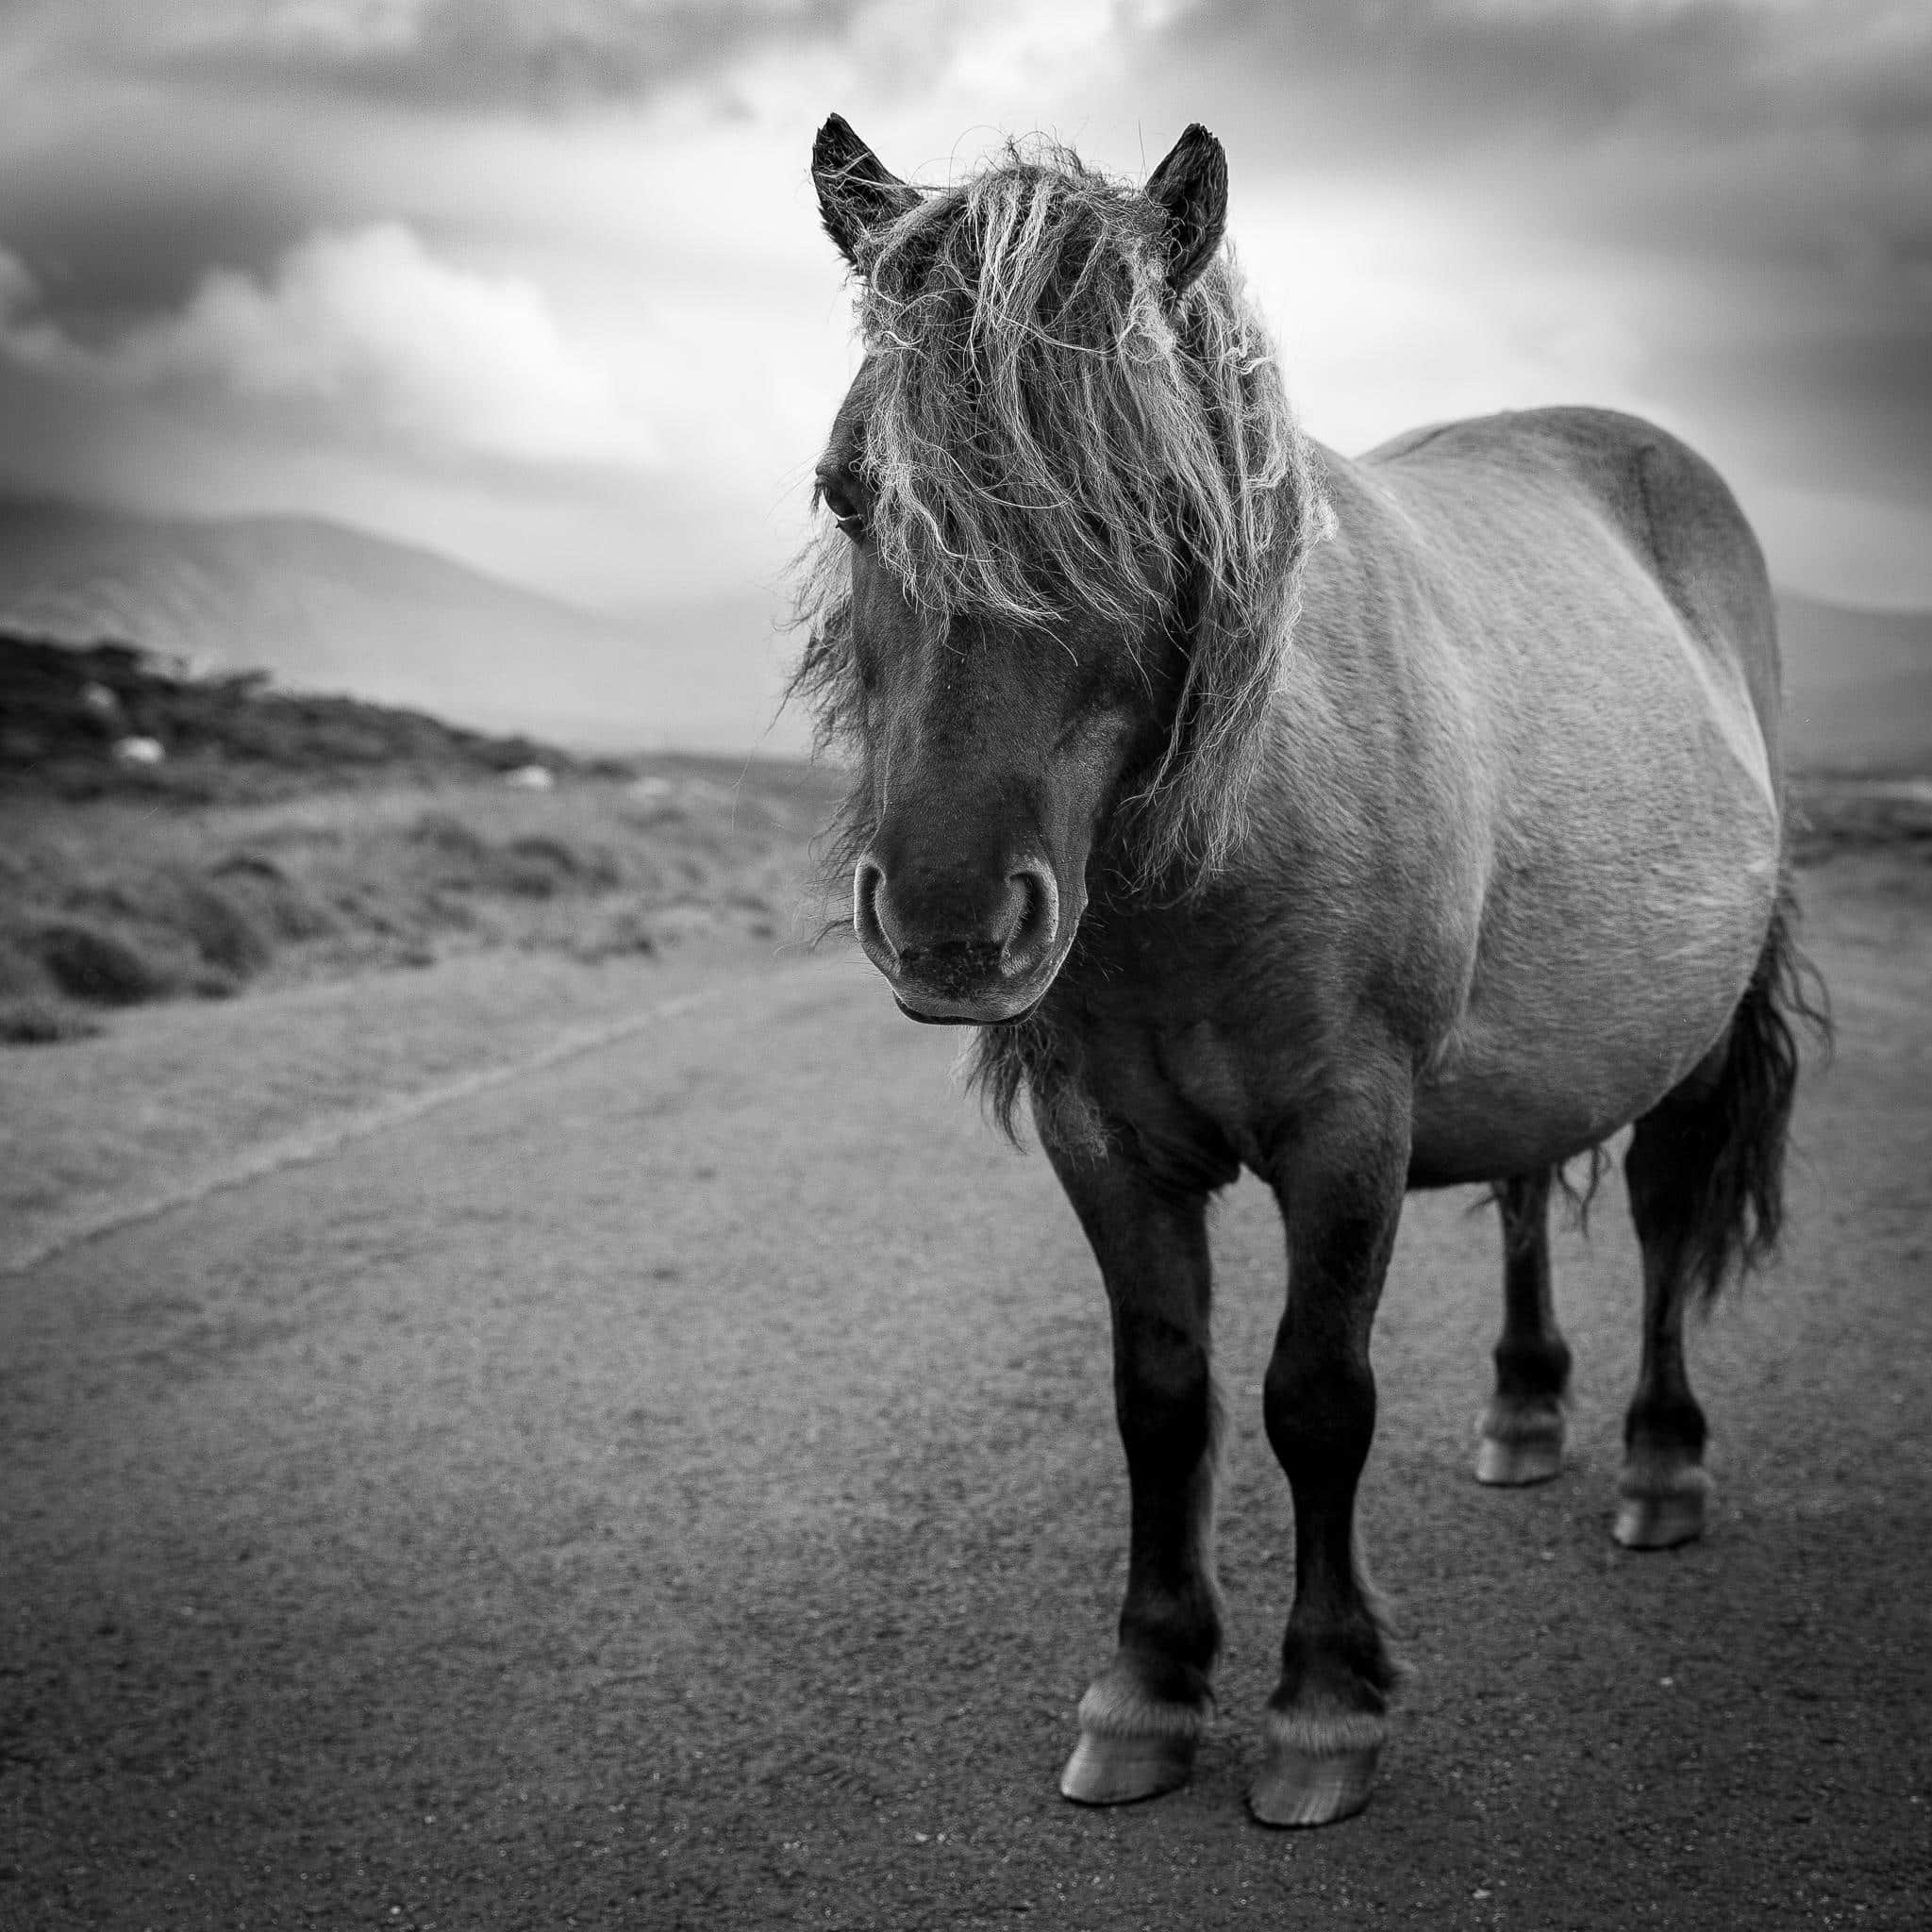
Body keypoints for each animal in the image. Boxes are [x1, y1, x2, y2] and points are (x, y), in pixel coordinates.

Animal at [792, 115, 1825, 1828]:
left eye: (1145, 499)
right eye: (846, 489)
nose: (947, 918)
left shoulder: (1348, 1128)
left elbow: (1313, 1399)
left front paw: (1322, 1705)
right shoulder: (1103, 1139)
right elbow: (1162, 1400)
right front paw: (1145, 1686)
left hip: (1690, 1038)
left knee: (1669, 1215)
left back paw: (1659, 1460)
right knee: (1529, 1189)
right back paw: (1523, 1407)